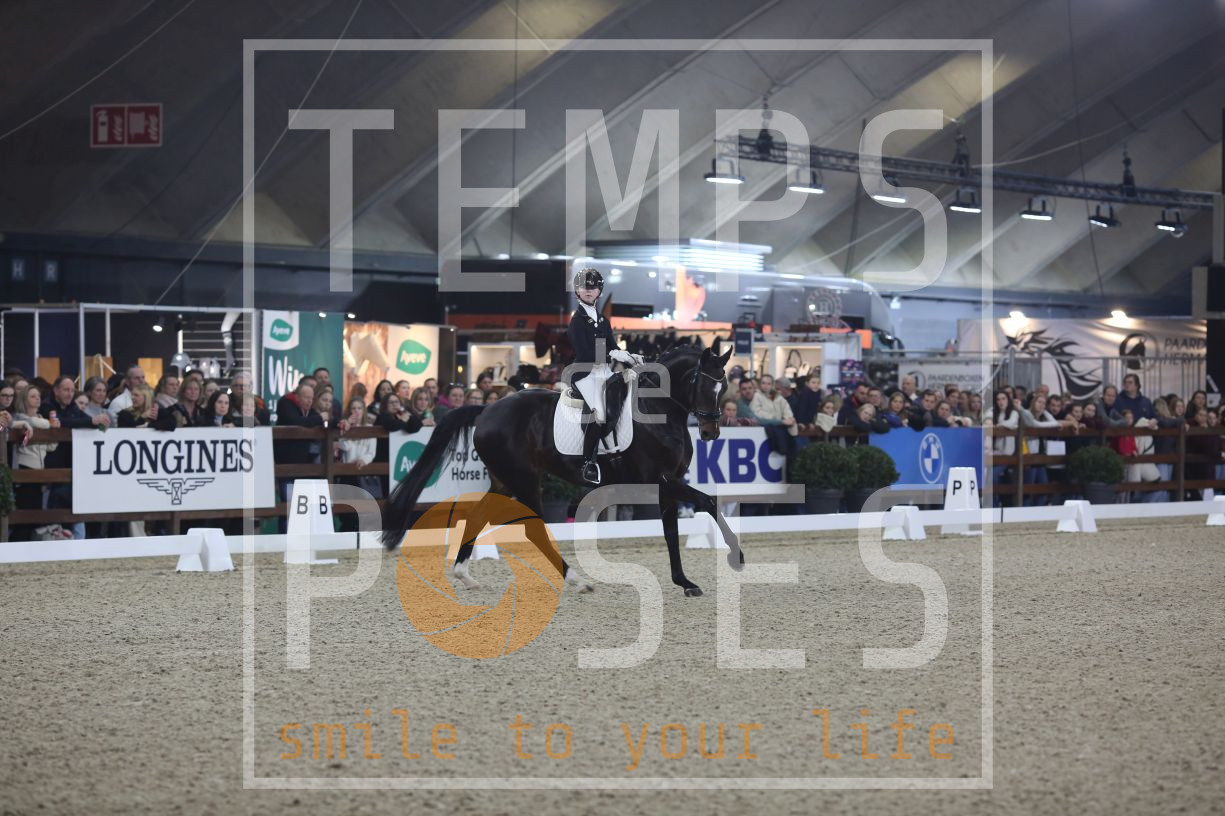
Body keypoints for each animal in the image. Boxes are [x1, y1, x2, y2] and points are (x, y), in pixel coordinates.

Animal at [380, 345, 744, 597]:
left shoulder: (668, 483)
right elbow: (708, 502)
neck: (657, 410)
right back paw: (577, 580)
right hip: (525, 480)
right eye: (702, 384)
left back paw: (464, 575)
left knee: (477, 516)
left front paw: (685, 582)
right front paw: (737, 556)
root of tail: (487, 409)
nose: (711, 432)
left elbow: (671, 531)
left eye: (723, 385)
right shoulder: (659, 481)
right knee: (533, 529)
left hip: (503, 481)